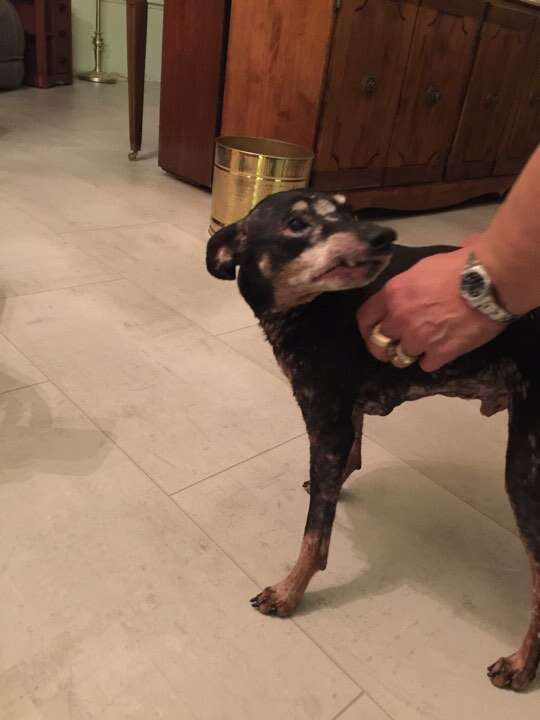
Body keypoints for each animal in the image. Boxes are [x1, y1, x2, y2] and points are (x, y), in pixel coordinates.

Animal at [206, 190, 540, 692]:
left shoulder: (325, 420)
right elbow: (349, 459)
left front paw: (289, 592)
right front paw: (332, 485)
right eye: (296, 223)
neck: (314, 306)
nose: (384, 234)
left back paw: (520, 665)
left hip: (524, 468)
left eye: (350, 211)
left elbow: (315, 536)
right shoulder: (344, 412)